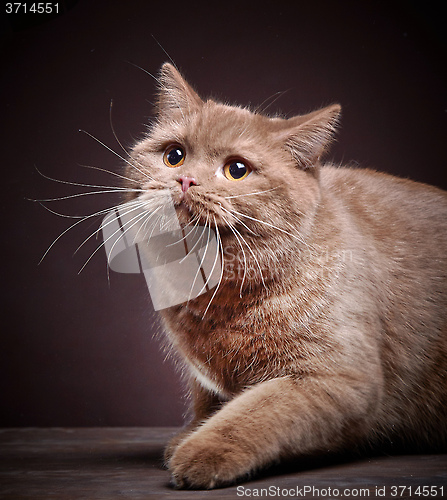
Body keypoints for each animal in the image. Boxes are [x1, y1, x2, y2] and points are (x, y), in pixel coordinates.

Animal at [123, 62, 447, 488]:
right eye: (174, 155)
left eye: (237, 170)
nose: (185, 180)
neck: (217, 300)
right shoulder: (205, 380)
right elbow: (208, 403)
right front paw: (188, 434)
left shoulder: (337, 379)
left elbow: (257, 412)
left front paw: (201, 451)